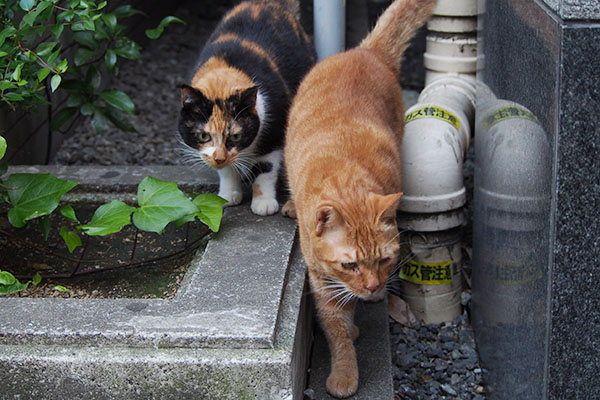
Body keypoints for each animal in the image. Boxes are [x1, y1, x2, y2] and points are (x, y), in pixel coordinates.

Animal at [178, 0, 316, 216]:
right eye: (204, 136)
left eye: (235, 136)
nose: (220, 158)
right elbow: (226, 171)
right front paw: (228, 195)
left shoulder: (274, 130)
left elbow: (265, 167)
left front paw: (263, 202)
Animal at [284, 0, 438, 396]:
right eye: (350, 264)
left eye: (384, 260)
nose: (372, 287)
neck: (346, 184)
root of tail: (365, 51)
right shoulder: (322, 281)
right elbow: (336, 328)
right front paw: (344, 371)